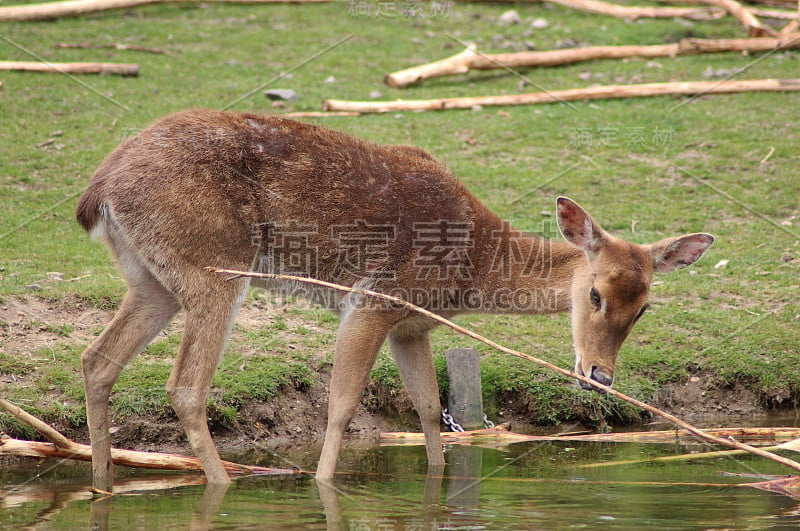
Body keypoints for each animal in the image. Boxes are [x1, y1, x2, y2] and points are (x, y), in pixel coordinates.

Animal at [73, 109, 712, 490]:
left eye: (645, 306)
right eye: (596, 294)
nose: (599, 376)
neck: (472, 269)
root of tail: (97, 192)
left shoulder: (413, 325)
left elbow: (429, 408)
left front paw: (436, 484)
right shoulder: (374, 301)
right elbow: (341, 404)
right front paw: (323, 487)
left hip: (151, 279)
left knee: (98, 359)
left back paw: (103, 481)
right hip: (214, 271)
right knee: (184, 386)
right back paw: (223, 484)